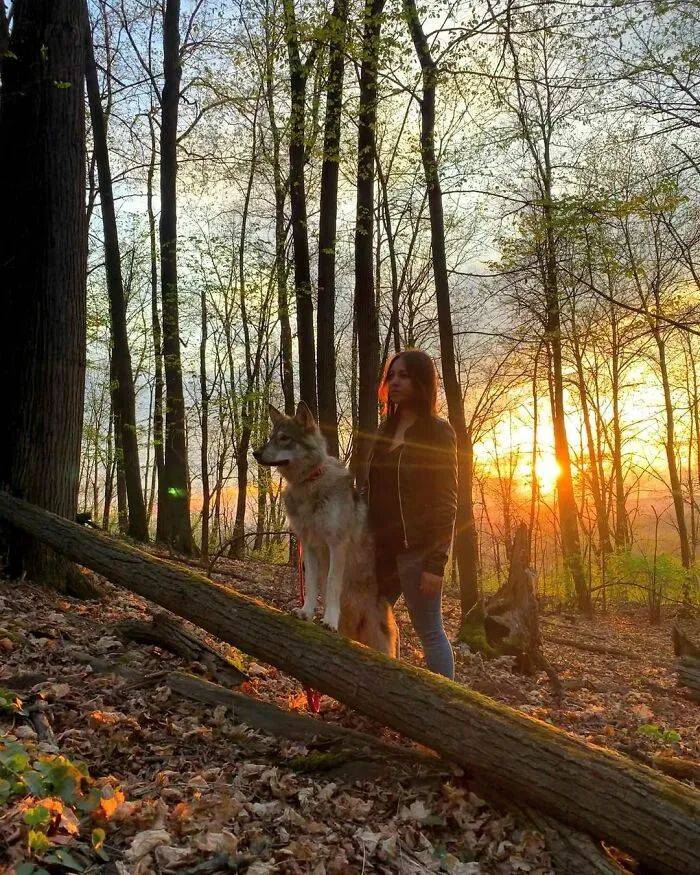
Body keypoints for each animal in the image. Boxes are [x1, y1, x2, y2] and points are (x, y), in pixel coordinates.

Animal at [254, 404, 400, 656]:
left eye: (284, 438)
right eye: (271, 437)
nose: (255, 452)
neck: (309, 483)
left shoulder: (336, 545)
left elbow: (332, 583)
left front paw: (329, 620)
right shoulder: (309, 546)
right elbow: (311, 583)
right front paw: (306, 612)